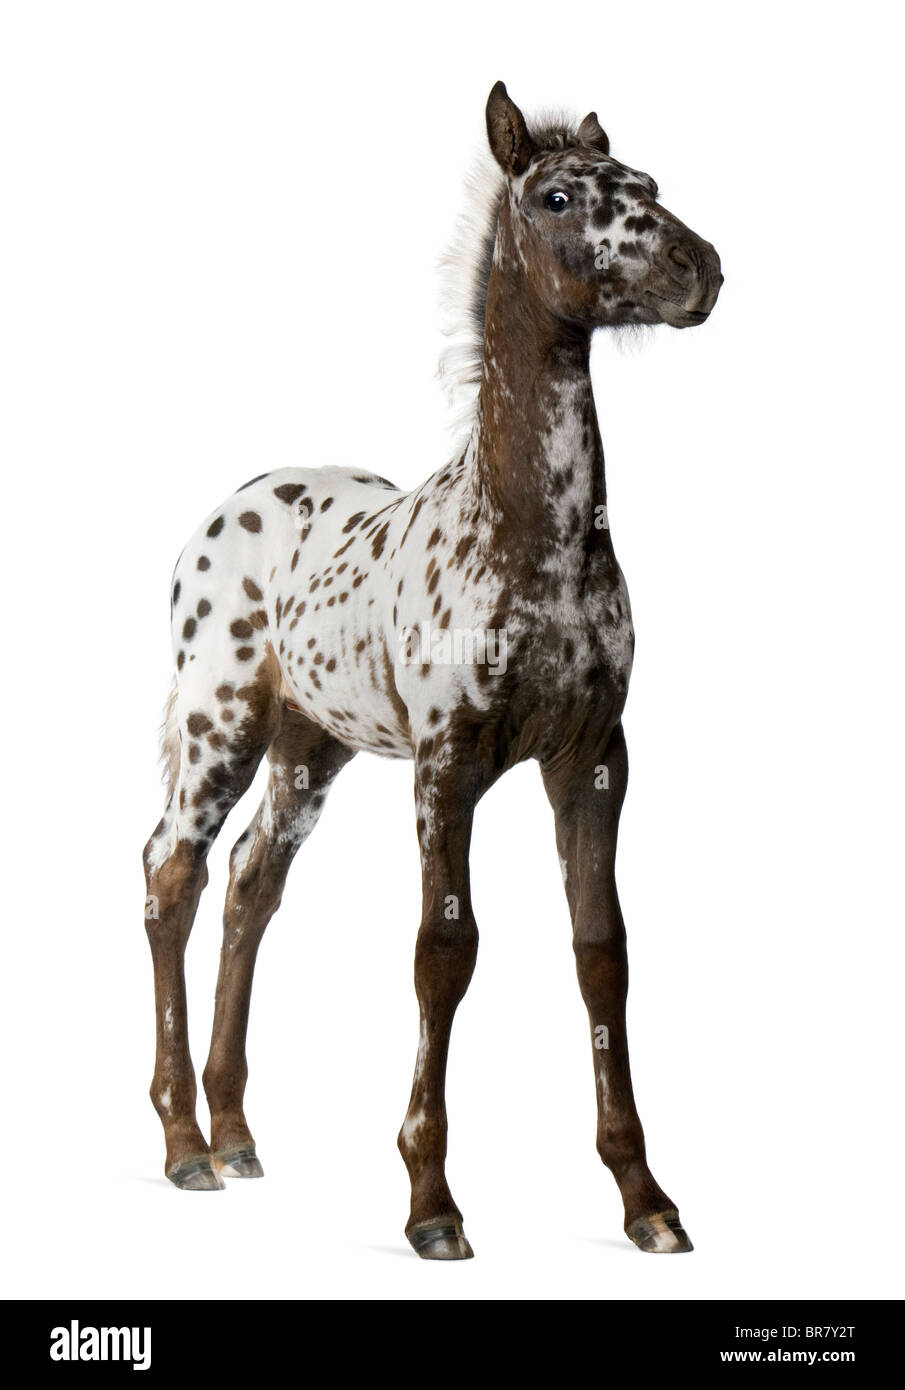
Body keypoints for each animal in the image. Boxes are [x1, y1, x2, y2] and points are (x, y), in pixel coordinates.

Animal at [143, 84, 722, 1262]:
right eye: (555, 198)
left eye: (647, 183)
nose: (702, 269)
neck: (530, 542)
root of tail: (222, 512)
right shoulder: (445, 765)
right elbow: (442, 950)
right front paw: (431, 1205)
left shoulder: (593, 758)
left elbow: (602, 950)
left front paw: (646, 1199)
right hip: (217, 724)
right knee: (171, 874)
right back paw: (182, 1145)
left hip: (309, 747)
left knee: (252, 882)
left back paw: (236, 1135)